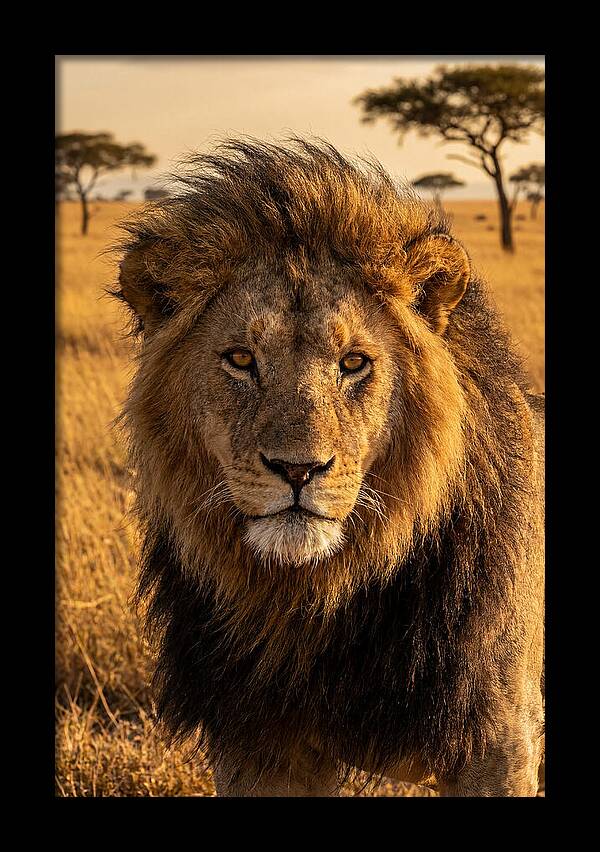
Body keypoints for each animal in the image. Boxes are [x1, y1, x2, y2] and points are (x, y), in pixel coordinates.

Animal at [114, 138, 544, 797]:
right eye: (241, 359)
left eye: (354, 362)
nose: (298, 470)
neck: (316, 599)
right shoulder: (257, 744)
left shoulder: (497, 738)